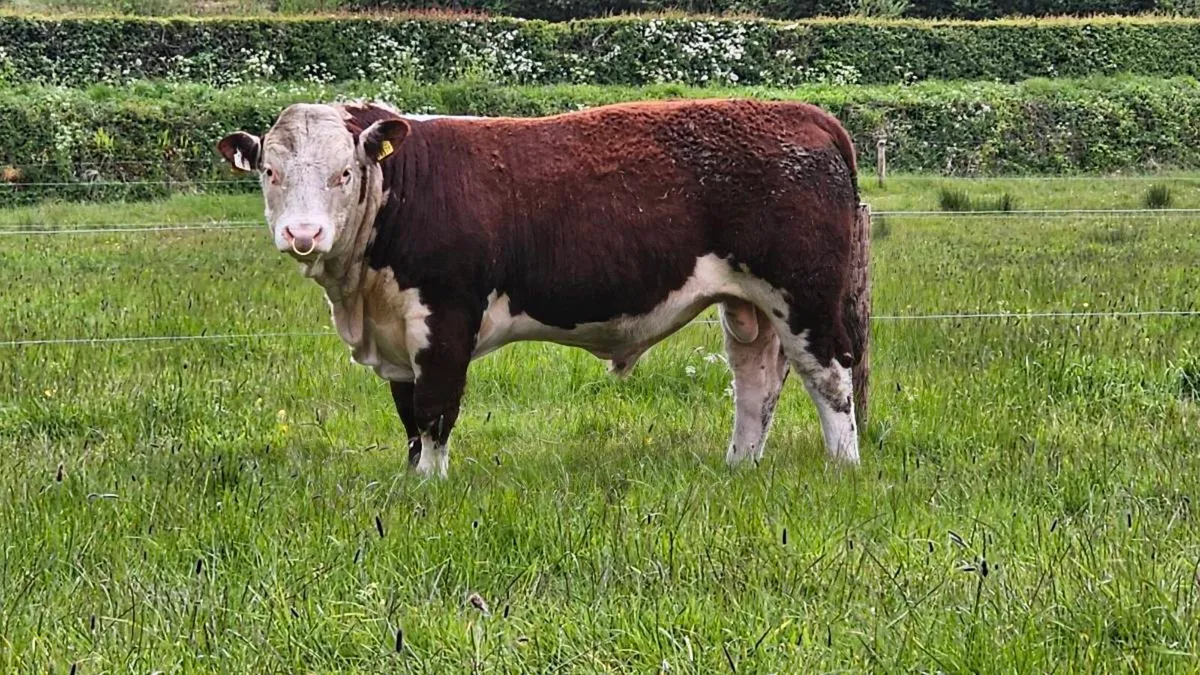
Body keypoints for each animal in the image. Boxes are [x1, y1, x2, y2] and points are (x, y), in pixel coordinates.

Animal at [217, 98, 871, 478]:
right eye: (270, 172)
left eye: (344, 172)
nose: (303, 233)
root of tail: (806, 114)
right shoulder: (396, 331)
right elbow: (408, 416)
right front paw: (410, 481)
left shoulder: (446, 315)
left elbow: (434, 410)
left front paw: (431, 487)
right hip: (750, 303)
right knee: (755, 381)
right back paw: (740, 465)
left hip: (805, 294)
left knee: (830, 375)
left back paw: (843, 465)